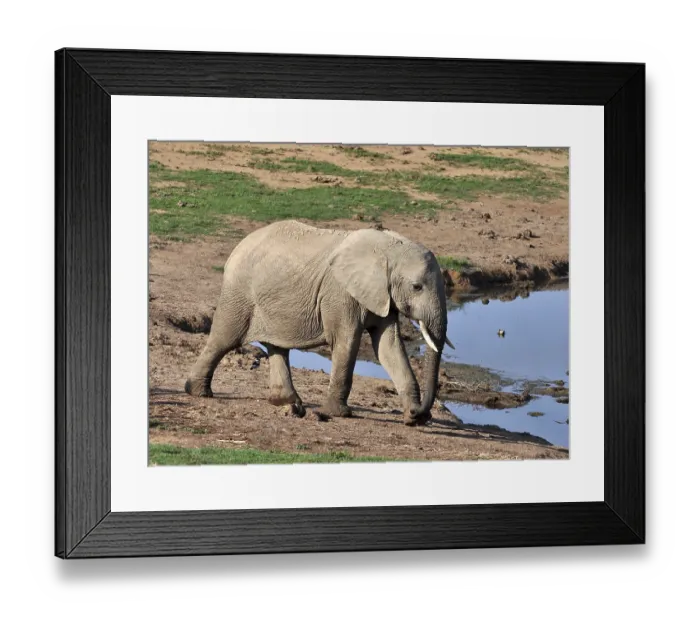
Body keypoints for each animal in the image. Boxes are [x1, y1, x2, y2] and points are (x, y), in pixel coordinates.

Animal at [185, 220, 452, 426]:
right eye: (416, 287)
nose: (421, 412)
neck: (388, 248)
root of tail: (238, 247)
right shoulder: (340, 293)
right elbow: (347, 341)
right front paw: (336, 414)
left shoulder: (381, 295)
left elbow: (389, 347)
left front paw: (414, 419)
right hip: (239, 292)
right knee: (225, 338)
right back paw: (197, 391)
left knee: (277, 347)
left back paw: (290, 404)